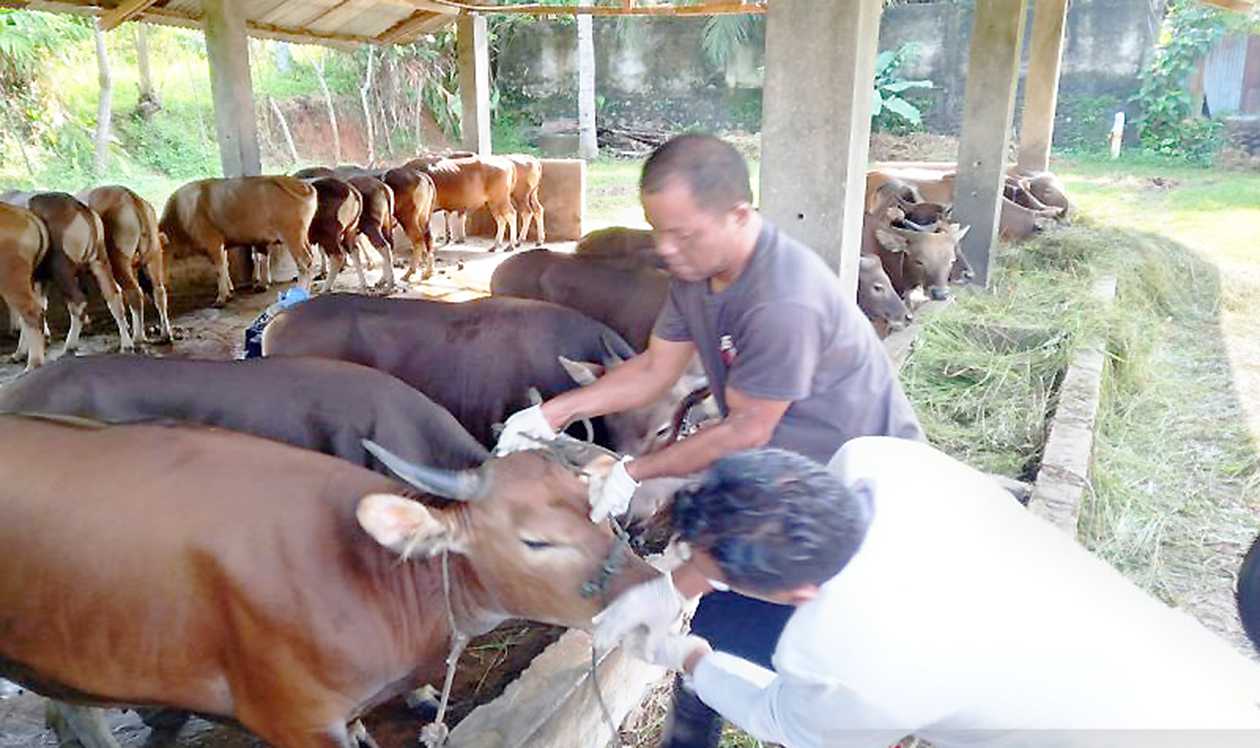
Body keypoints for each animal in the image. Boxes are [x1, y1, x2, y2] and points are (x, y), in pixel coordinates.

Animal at [80, 185, 175, 342]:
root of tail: (132, 198)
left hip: (118, 258)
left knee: (134, 293)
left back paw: (138, 338)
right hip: (154, 252)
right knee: (159, 291)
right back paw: (165, 333)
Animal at [160, 177, 317, 306]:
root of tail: (299, 183)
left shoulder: (213, 242)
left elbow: (219, 269)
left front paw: (221, 298)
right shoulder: (222, 245)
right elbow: (225, 265)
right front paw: (229, 292)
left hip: (292, 235)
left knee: (304, 262)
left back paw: (300, 292)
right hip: (302, 236)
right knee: (311, 259)